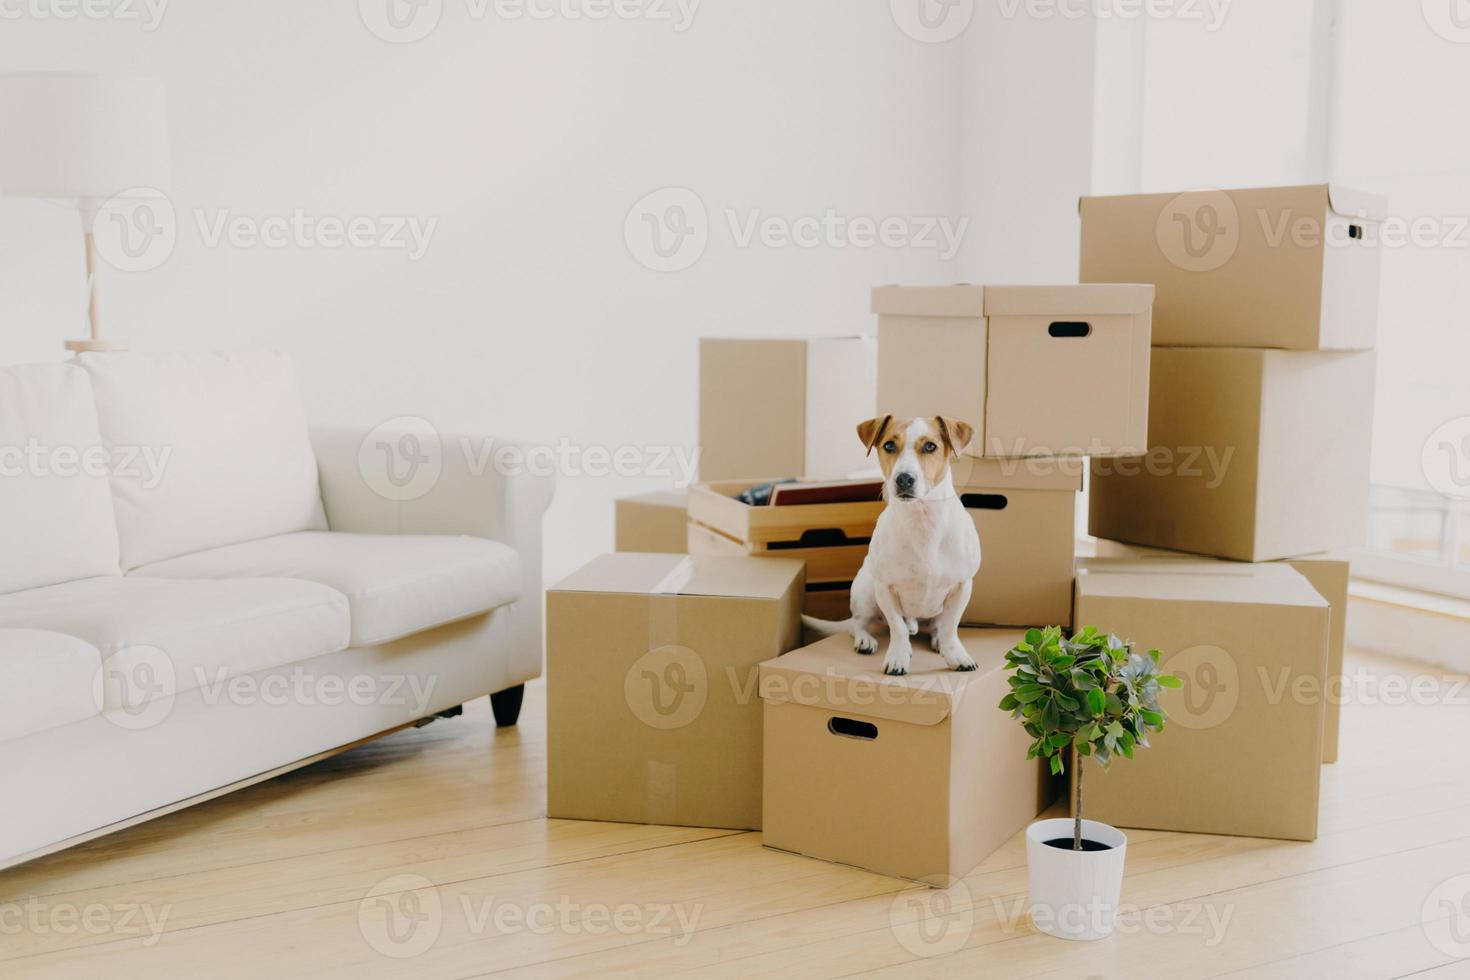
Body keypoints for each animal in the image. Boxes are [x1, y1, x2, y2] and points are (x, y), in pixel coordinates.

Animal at [799, 417, 981, 678]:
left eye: (930, 446)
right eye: (889, 446)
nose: (903, 478)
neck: (922, 519)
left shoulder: (962, 586)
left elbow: (950, 627)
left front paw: (955, 654)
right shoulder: (885, 587)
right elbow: (897, 628)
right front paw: (898, 656)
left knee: (936, 625)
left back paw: (934, 638)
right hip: (866, 591)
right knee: (857, 624)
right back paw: (865, 639)